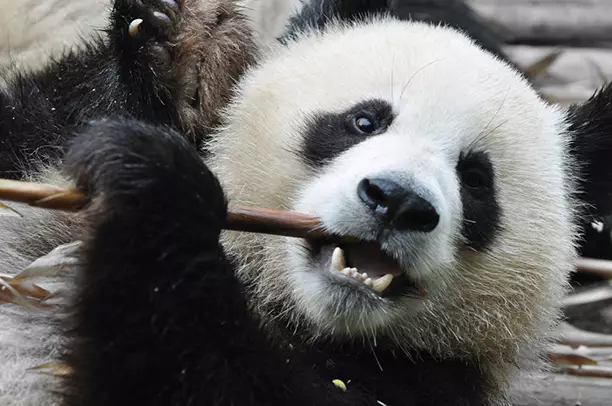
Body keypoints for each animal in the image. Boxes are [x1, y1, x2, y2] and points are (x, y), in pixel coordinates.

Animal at [3, 0, 612, 406]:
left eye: (477, 179)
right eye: (364, 121)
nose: (396, 201)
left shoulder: (420, 380)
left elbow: (197, 377)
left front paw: (153, 185)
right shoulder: (39, 133)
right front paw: (186, 56)